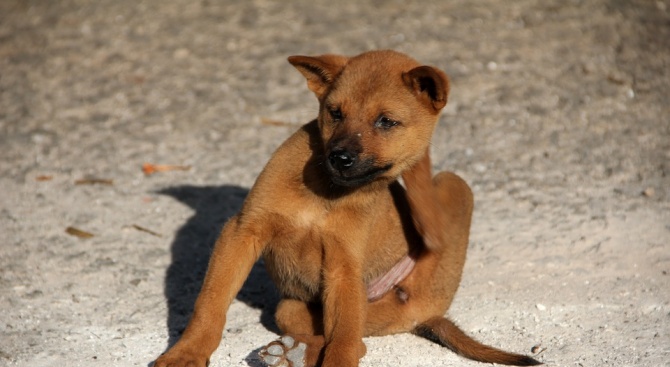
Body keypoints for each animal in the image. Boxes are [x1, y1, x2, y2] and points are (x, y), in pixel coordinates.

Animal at [152, 49, 540, 367]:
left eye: (386, 121)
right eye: (335, 113)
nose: (339, 158)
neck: (326, 194)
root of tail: (429, 314)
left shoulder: (343, 268)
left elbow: (342, 343)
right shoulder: (242, 231)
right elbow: (209, 305)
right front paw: (186, 353)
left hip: (451, 186)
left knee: (358, 341)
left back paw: (294, 352)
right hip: (294, 306)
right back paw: (292, 351)